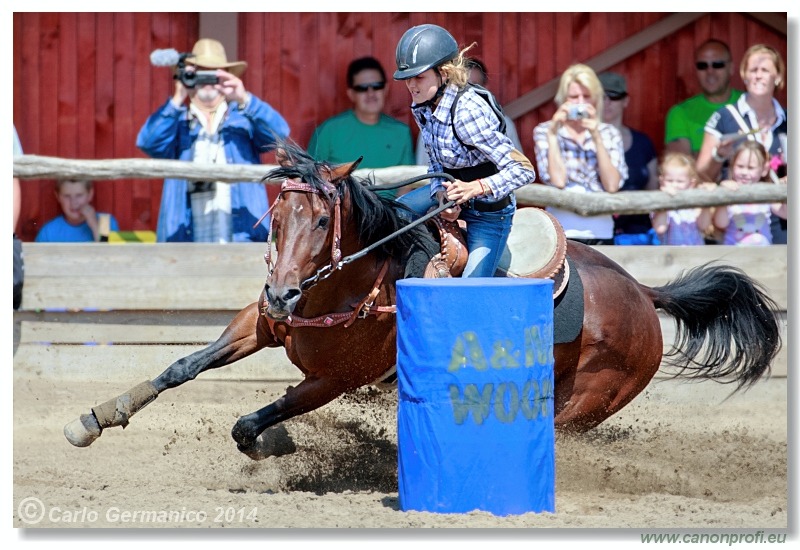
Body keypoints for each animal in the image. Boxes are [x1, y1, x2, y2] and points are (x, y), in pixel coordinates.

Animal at [64, 142, 780, 462]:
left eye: (322, 222)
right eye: (276, 218)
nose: (284, 291)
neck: (351, 281)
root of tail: (643, 293)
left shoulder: (335, 378)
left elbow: (250, 421)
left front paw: (273, 445)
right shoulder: (260, 325)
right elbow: (180, 367)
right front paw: (96, 417)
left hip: (585, 402)